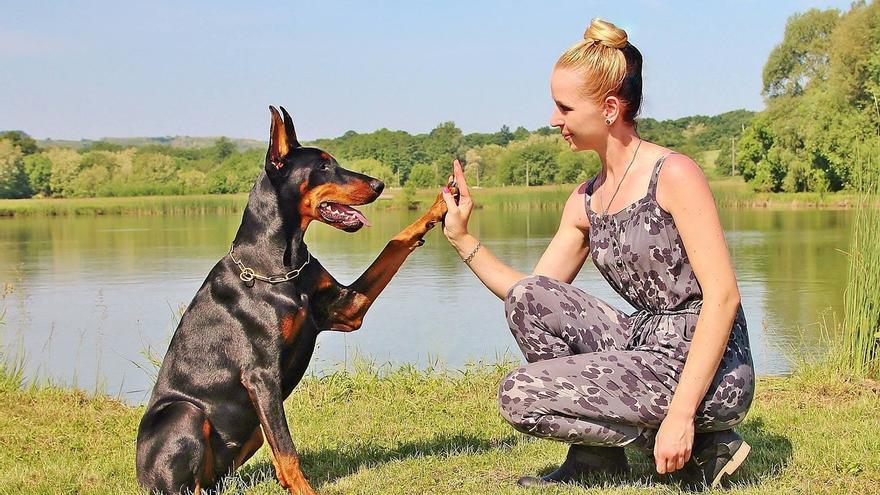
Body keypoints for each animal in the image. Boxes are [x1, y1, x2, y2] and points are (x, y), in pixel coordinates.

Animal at [134, 106, 458, 494]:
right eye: (323, 166)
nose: (379, 185)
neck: (281, 265)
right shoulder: (261, 375)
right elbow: (288, 451)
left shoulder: (346, 308)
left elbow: (395, 243)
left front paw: (440, 204)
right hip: (185, 413)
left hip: (250, 434)